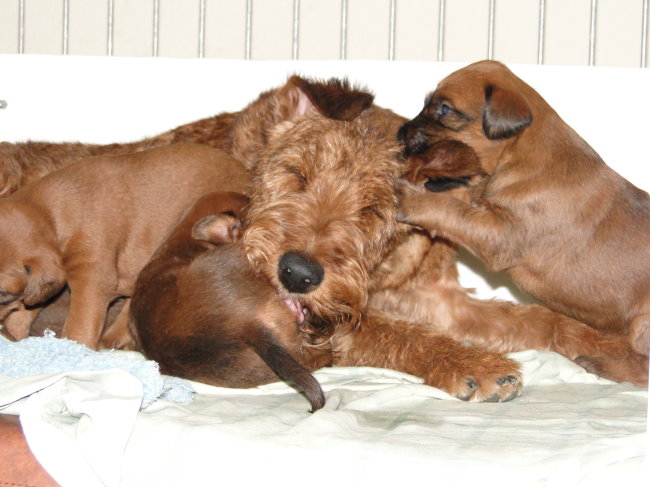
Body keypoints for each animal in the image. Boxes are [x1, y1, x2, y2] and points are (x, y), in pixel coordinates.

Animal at [396, 60, 650, 370]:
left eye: (444, 109)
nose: (400, 132)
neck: (520, 156)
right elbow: (460, 198)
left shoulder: (501, 235)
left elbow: (450, 210)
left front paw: (410, 198)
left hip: (643, 325)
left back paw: (600, 364)